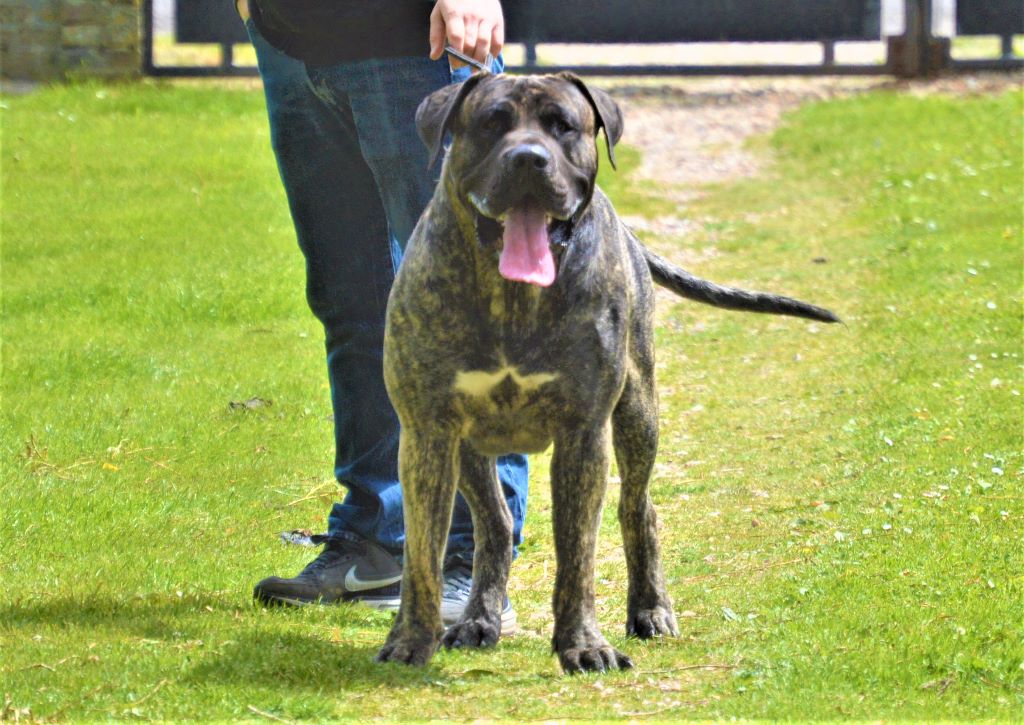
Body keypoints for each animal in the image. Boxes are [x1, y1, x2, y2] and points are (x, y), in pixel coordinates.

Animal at [375, 72, 838, 673]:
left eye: (563, 127)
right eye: (492, 123)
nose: (529, 159)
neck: (512, 296)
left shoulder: (583, 433)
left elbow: (578, 554)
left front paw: (583, 644)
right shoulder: (428, 432)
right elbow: (421, 552)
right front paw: (411, 639)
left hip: (638, 412)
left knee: (638, 508)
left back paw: (650, 609)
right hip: (469, 447)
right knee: (494, 524)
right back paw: (479, 619)